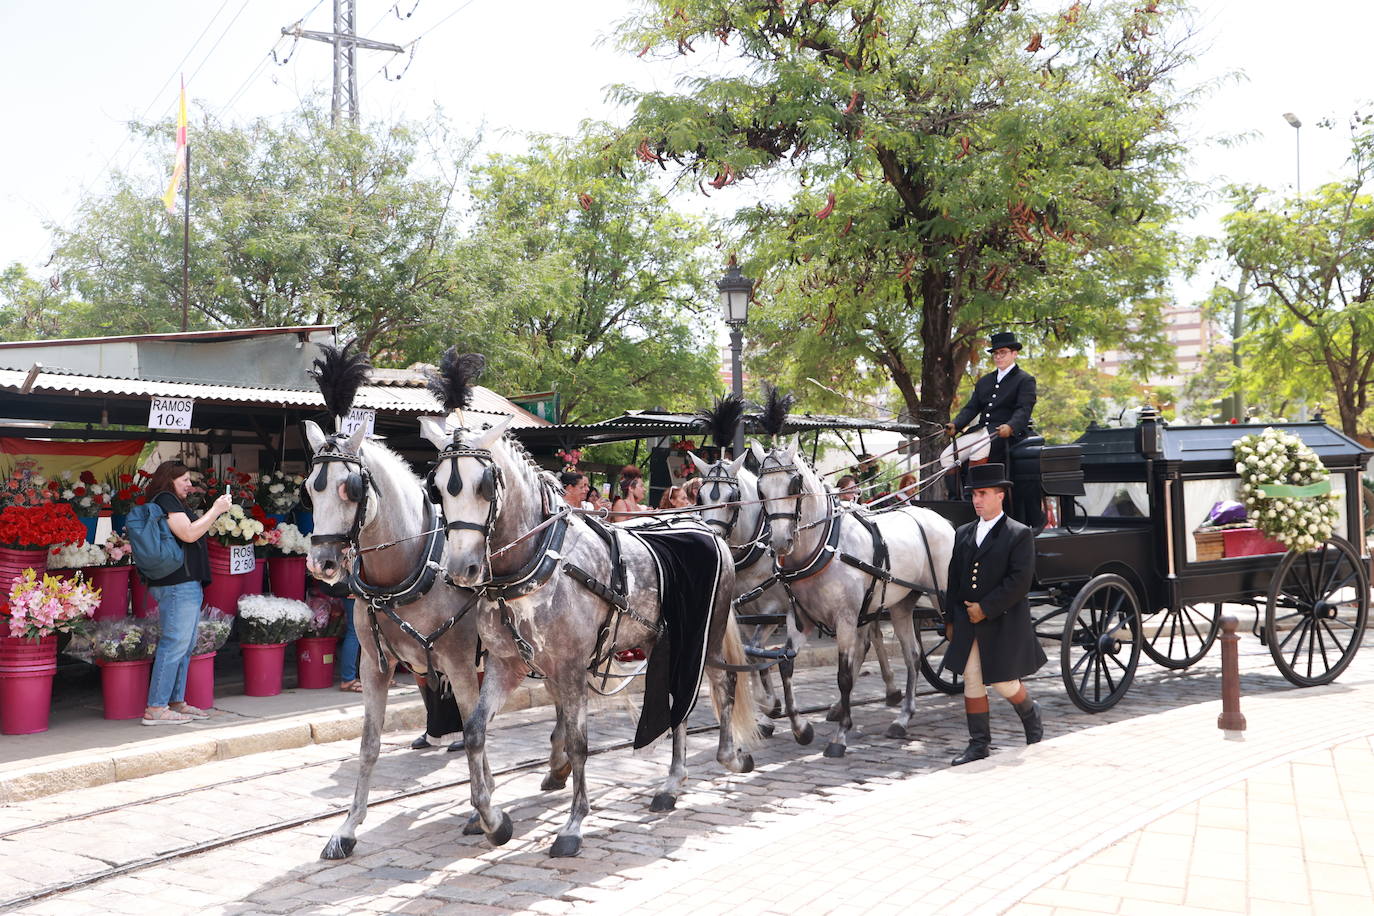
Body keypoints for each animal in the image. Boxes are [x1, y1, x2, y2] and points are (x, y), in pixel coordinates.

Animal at [300, 422, 563, 862]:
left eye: (349, 488)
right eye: (308, 487)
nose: (323, 563)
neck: (409, 565)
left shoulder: (460, 666)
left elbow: (476, 730)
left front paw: (483, 811)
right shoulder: (374, 667)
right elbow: (369, 744)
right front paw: (347, 828)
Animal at [420, 414, 758, 862]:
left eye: (485, 485)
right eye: (438, 488)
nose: (462, 569)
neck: (539, 562)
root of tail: (707, 526)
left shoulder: (570, 667)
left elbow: (580, 743)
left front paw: (574, 824)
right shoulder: (507, 664)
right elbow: (475, 731)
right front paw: (493, 821)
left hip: (708, 633)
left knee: (722, 682)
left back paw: (724, 759)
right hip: (666, 641)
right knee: (677, 701)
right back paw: (672, 782)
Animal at [752, 439, 956, 758]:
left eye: (794, 484)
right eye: (761, 489)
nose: (780, 542)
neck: (824, 546)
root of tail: (940, 519)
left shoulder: (846, 619)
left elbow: (844, 676)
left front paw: (840, 736)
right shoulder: (801, 620)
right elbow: (786, 665)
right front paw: (801, 729)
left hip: (943, 598)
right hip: (901, 604)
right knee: (912, 655)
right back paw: (903, 718)